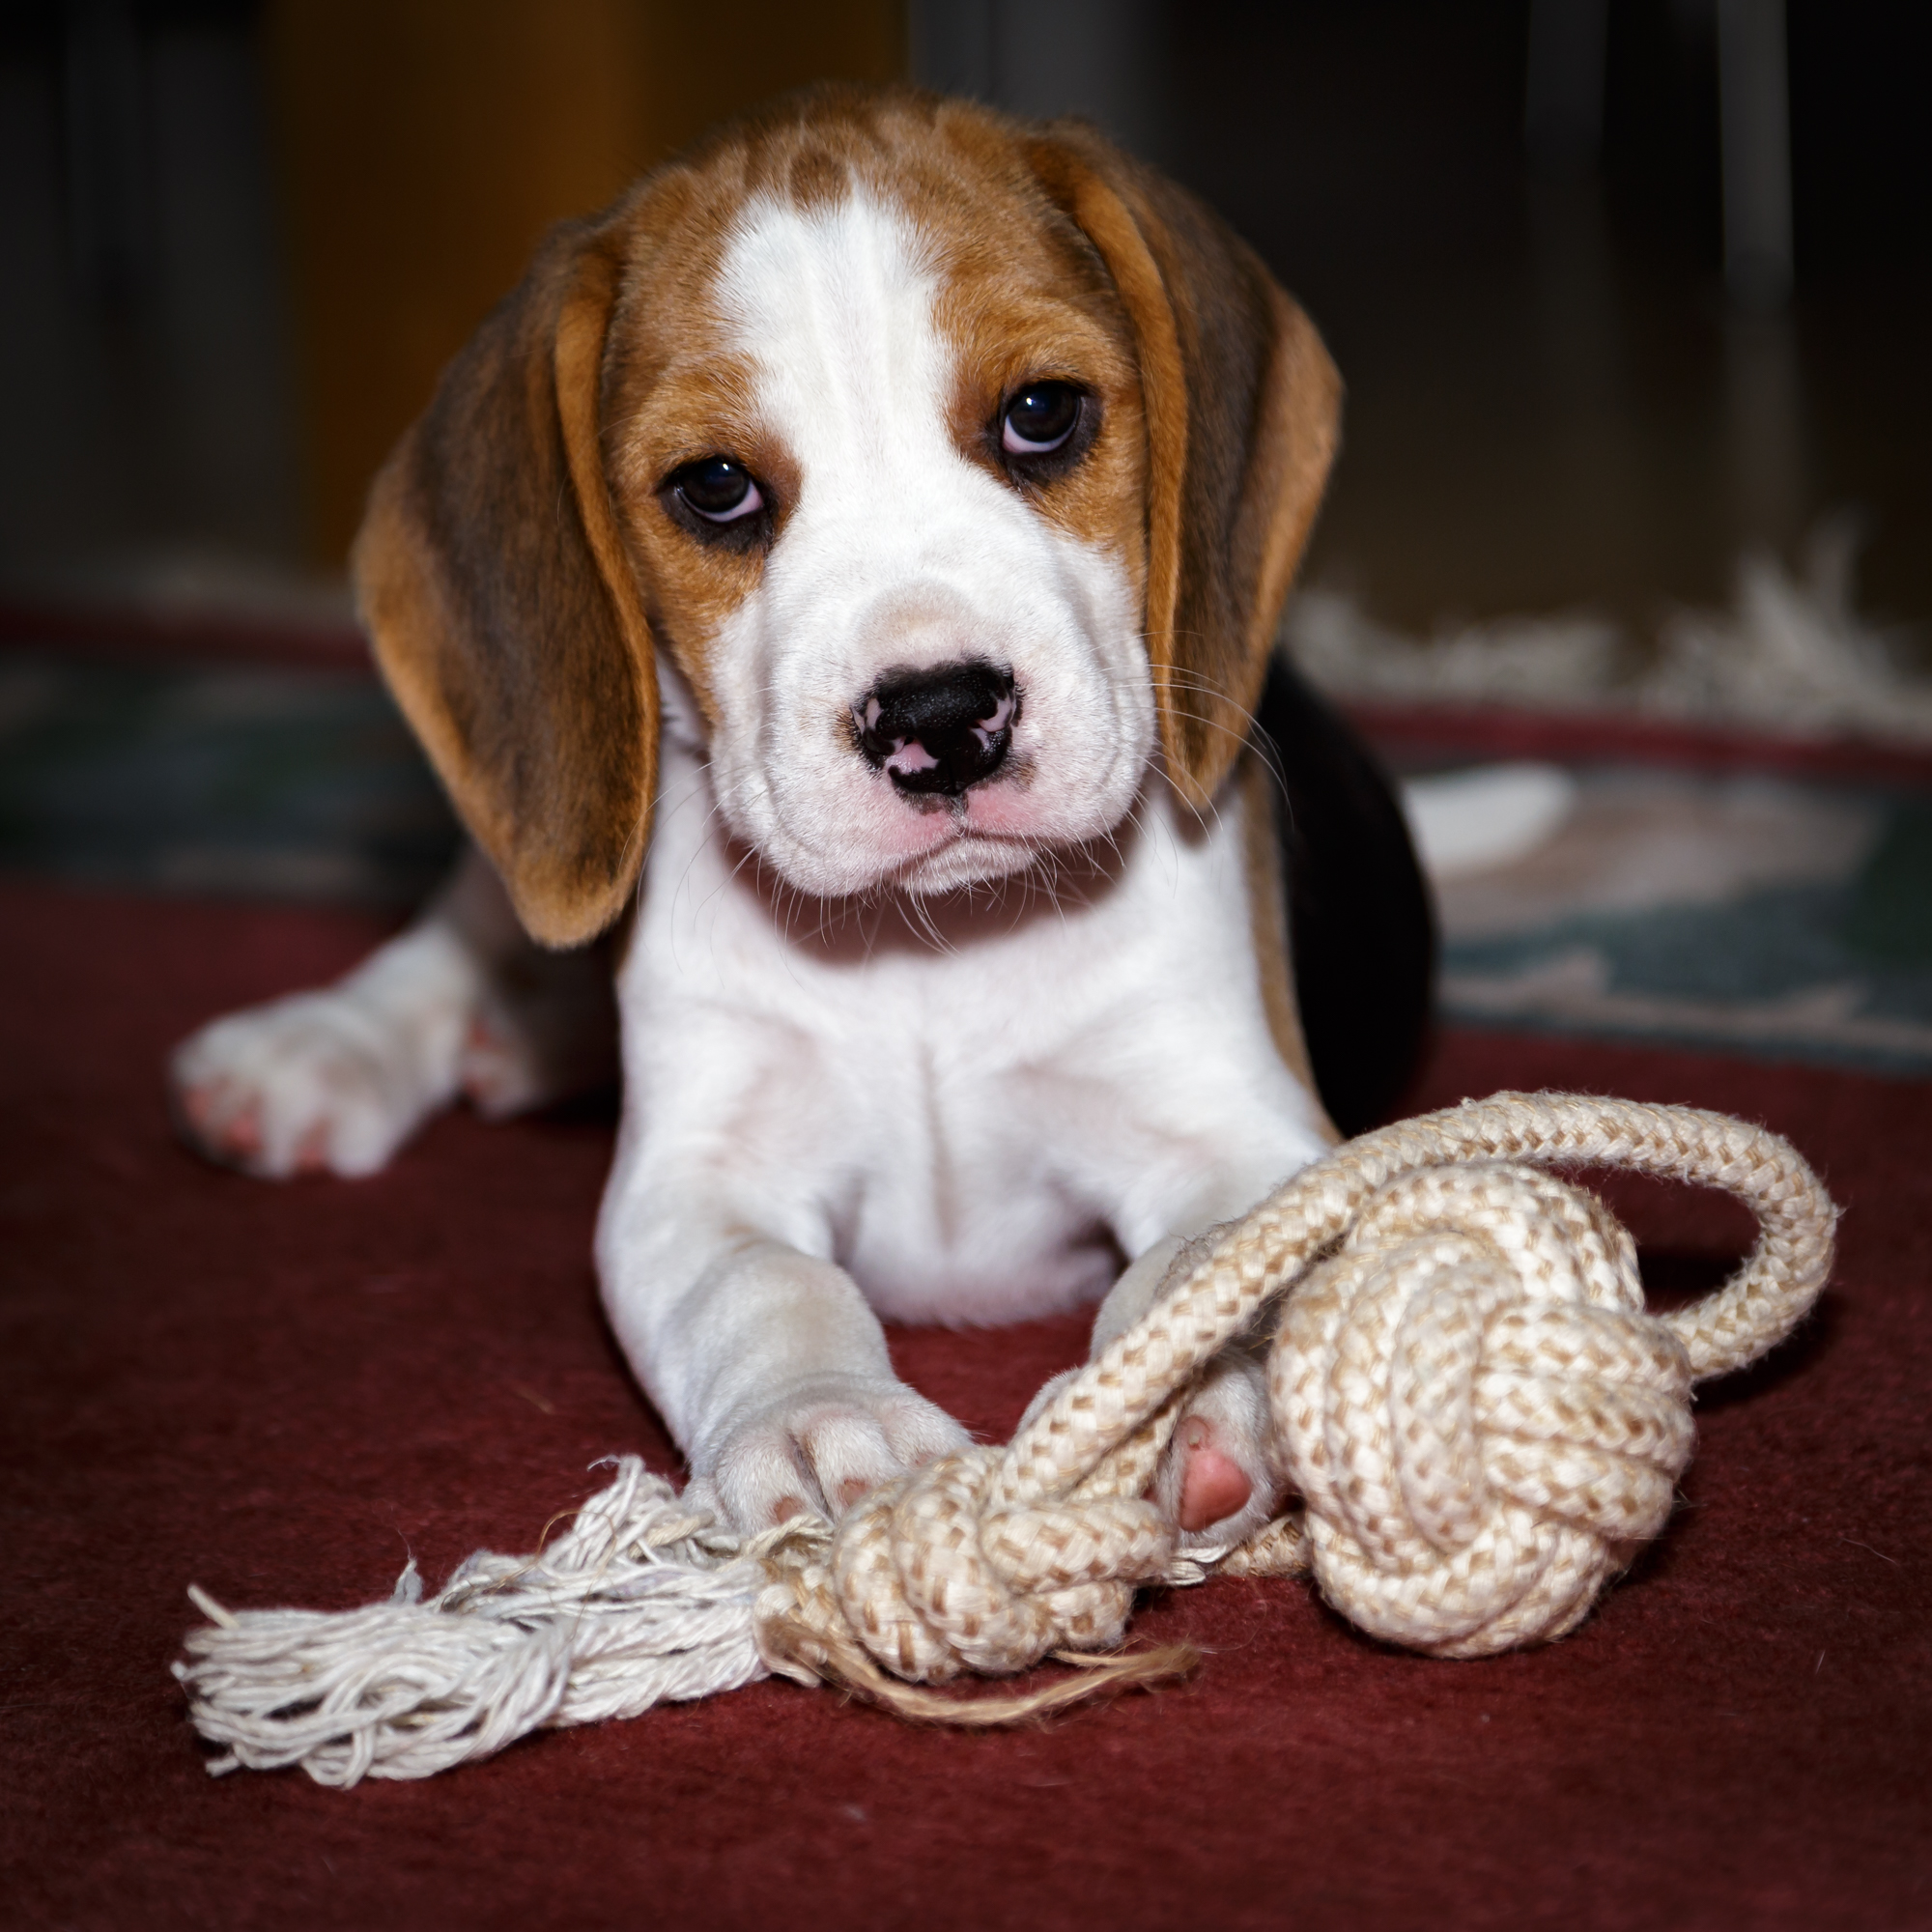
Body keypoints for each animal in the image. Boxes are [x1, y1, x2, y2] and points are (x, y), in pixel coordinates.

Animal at [169, 87, 1432, 1552]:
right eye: (715, 487)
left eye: (1042, 414)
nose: (940, 714)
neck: (931, 952)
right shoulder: (696, 1179)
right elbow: (768, 1289)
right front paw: (825, 1424)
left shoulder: (1236, 1125)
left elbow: (1209, 1260)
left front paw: (1180, 1387)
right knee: (480, 918)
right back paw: (332, 1046)